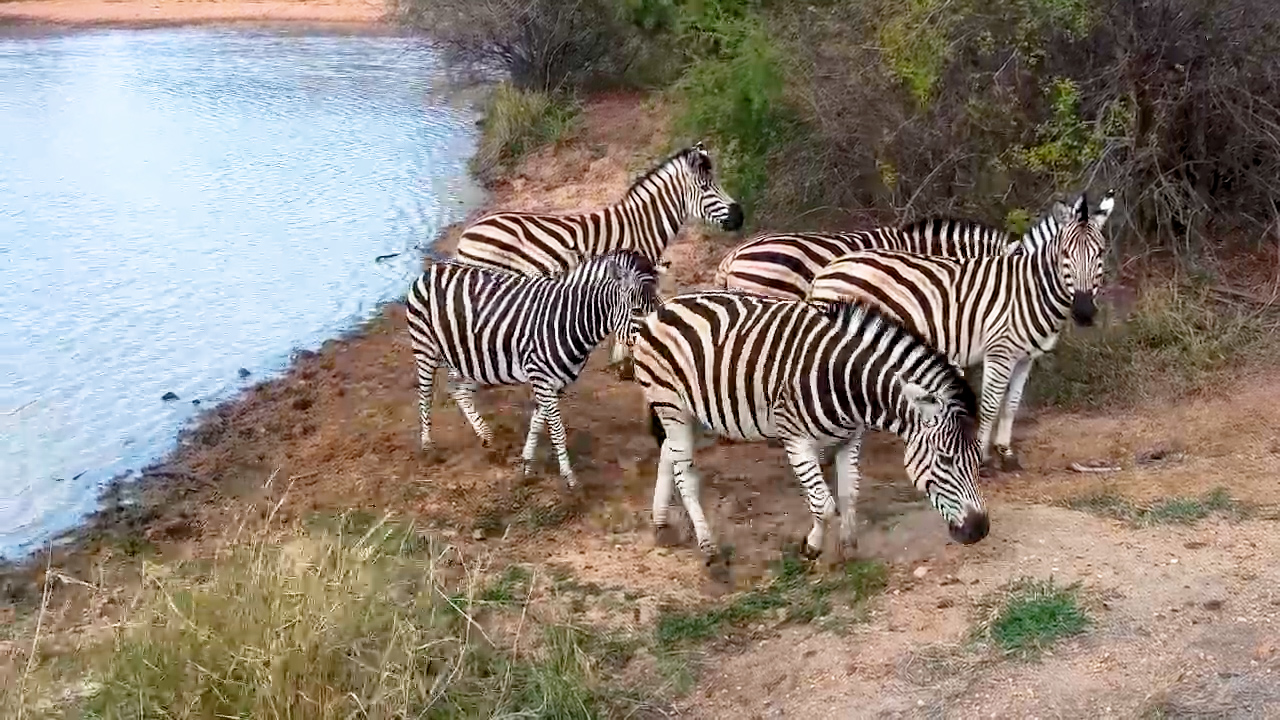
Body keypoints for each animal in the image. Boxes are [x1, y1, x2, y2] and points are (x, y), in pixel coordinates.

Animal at [405, 250, 659, 489]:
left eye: (656, 307)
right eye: (637, 310)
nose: (655, 344)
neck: (570, 319)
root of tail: (432, 269)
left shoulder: (555, 382)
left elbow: (538, 420)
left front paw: (527, 463)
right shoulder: (541, 376)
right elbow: (557, 430)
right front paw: (569, 478)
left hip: (471, 358)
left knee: (457, 389)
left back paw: (487, 437)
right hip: (425, 347)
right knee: (425, 396)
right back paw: (427, 446)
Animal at [631, 291, 990, 564]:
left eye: (976, 459)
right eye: (945, 460)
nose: (981, 530)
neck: (848, 383)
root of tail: (662, 308)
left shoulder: (850, 439)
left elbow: (848, 493)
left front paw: (848, 546)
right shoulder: (796, 439)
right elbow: (824, 504)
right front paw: (813, 547)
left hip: (695, 411)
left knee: (669, 455)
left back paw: (661, 524)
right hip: (670, 404)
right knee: (686, 476)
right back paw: (709, 548)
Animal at [808, 191, 1116, 471]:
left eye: (1100, 253)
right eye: (1065, 254)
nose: (1084, 312)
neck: (1028, 290)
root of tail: (827, 269)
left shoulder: (1025, 358)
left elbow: (1011, 404)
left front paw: (1006, 454)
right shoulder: (999, 352)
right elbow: (990, 405)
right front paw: (981, 457)